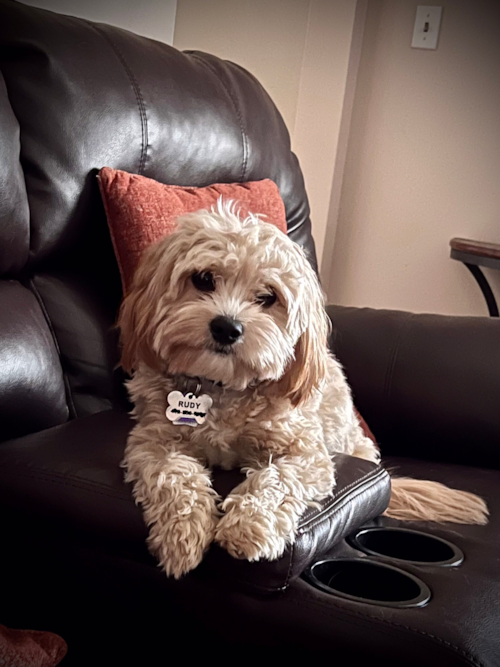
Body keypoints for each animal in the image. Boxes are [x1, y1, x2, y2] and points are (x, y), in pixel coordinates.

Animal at [119, 202, 486, 580]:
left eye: (268, 297)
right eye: (203, 279)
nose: (227, 327)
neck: (222, 387)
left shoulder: (307, 454)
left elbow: (277, 479)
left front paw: (247, 526)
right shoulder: (151, 441)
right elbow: (174, 476)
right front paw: (182, 535)